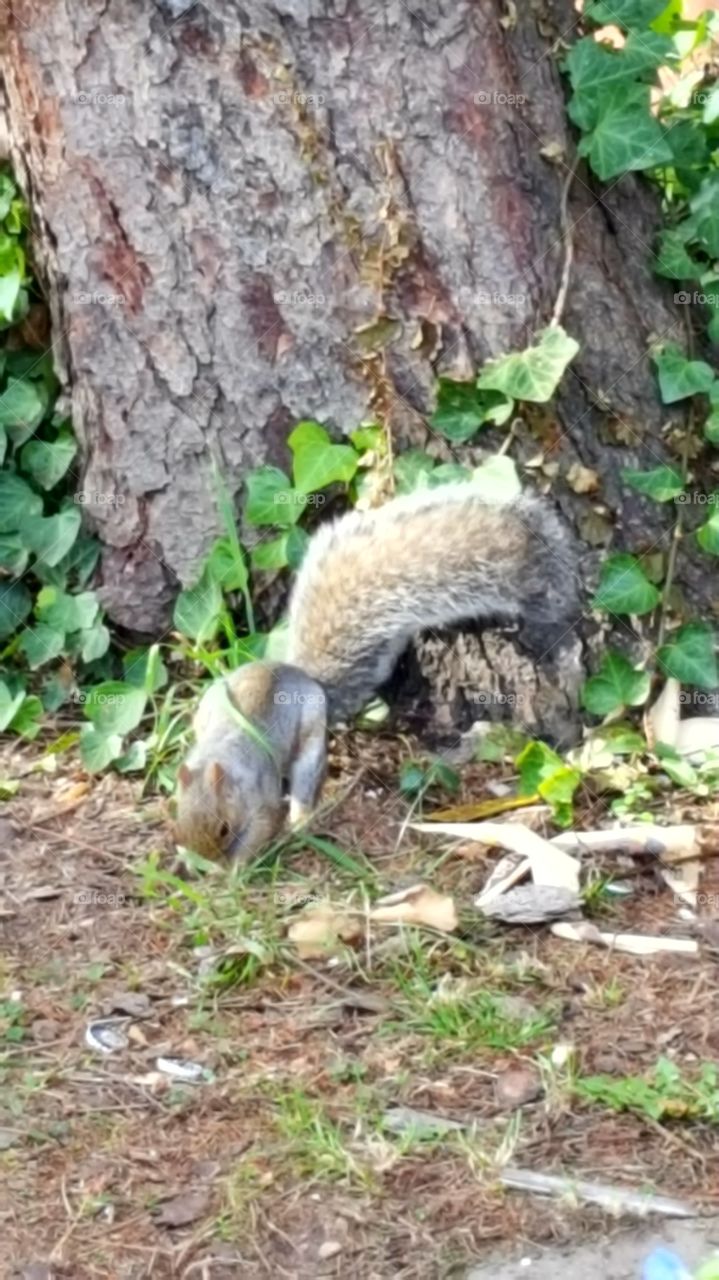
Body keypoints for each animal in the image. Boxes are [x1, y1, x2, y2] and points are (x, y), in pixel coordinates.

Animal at [174, 482, 579, 862]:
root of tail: (301, 676)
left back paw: (301, 823)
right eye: (178, 821)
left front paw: (240, 866)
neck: (221, 758)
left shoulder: (261, 794)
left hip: (310, 733)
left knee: (306, 781)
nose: (206, 863)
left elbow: (262, 824)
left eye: (224, 827)